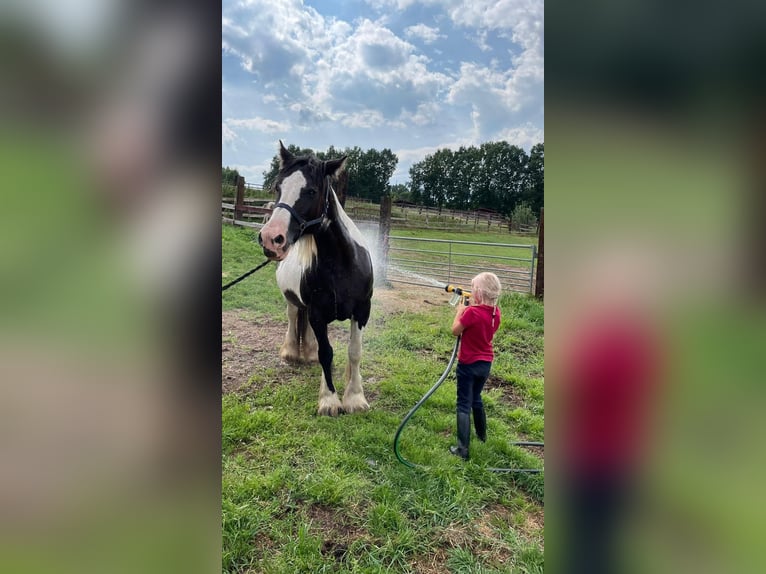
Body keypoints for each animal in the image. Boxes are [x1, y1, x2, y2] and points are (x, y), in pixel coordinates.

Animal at [260, 142, 376, 416]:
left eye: (311, 191)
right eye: (278, 187)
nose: (271, 238)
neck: (342, 265)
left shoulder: (362, 310)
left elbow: (354, 352)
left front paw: (355, 397)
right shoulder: (317, 312)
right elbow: (327, 353)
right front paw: (330, 400)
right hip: (293, 301)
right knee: (294, 318)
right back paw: (292, 352)